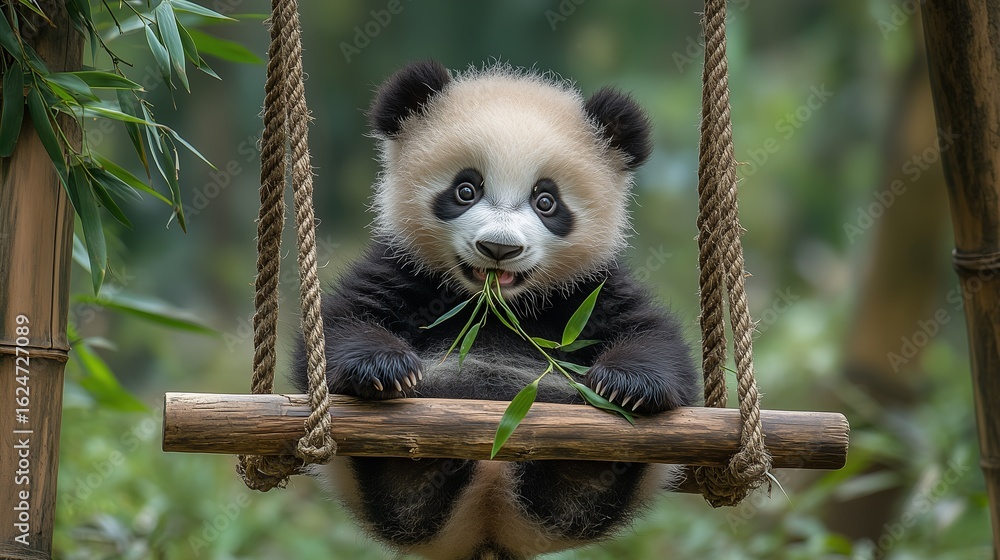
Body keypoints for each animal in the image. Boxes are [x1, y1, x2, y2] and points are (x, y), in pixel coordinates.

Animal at [291, 60, 699, 560]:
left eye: (546, 201)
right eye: (466, 189)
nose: (499, 249)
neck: (498, 307)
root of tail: (490, 522)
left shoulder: (588, 290)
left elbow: (654, 339)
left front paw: (628, 385)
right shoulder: (404, 268)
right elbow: (343, 322)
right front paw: (384, 369)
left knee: (584, 487)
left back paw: (576, 466)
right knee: (403, 488)